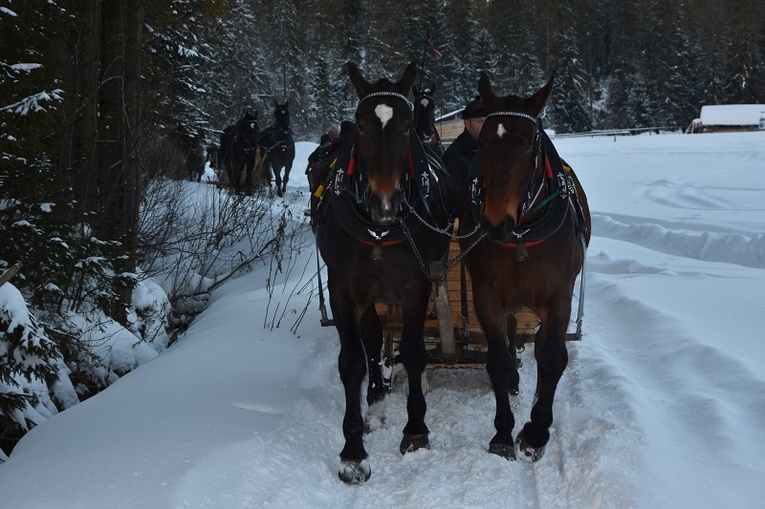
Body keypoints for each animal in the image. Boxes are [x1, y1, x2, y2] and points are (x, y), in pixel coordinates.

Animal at [310, 61, 454, 482]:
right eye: (359, 125)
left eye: (406, 126)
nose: (385, 201)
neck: (379, 232)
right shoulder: (342, 288)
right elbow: (353, 360)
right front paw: (353, 452)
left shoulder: (416, 284)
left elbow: (414, 349)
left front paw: (416, 429)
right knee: (373, 339)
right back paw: (375, 400)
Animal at [456, 74, 592, 460]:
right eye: (483, 141)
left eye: (528, 141)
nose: (494, 222)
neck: (521, 234)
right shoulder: (487, 296)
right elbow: (498, 360)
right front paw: (503, 431)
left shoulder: (559, 296)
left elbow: (552, 356)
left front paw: (536, 431)